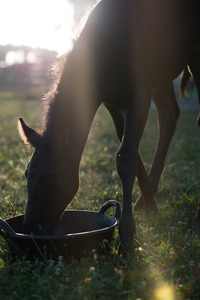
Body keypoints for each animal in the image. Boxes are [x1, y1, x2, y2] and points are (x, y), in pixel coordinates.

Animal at [18, 0, 200, 258]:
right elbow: (128, 149)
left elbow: (126, 158)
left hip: (194, 59)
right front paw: (149, 203)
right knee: (169, 115)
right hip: (163, 73)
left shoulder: (139, 96)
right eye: (26, 173)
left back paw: (197, 217)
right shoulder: (113, 103)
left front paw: (126, 237)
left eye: (49, 177)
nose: (30, 229)